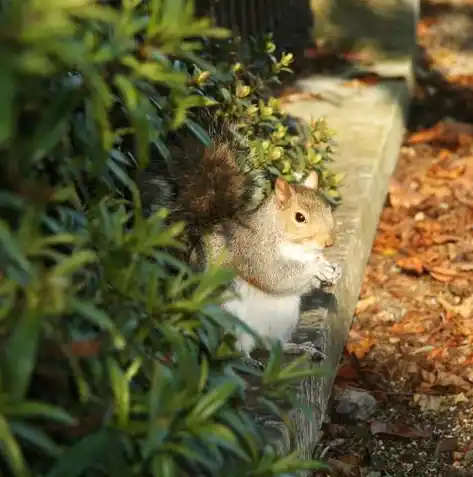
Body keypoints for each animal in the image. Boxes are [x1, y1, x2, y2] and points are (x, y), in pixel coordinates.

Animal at [138, 109, 342, 360]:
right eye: (299, 217)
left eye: (327, 208)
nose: (329, 242)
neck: (296, 248)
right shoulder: (254, 252)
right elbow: (274, 276)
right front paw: (317, 268)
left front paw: (333, 270)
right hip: (228, 316)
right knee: (234, 349)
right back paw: (247, 360)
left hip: (285, 320)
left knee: (272, 345)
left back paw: (298, 348)